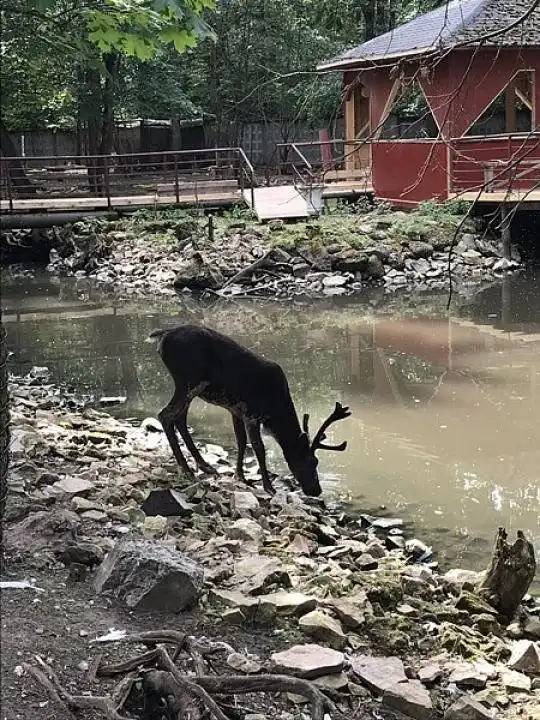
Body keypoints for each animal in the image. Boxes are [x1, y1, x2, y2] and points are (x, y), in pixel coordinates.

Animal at [147, 324, 350, 498]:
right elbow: (259, 448)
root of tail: (163, 336)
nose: (316, 490)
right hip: (188, 379)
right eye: (313, 461)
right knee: (165, 415)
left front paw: (240, 476)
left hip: (191, 386)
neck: (275, 411)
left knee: (179, 418)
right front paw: (269, 487)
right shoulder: (252, 413)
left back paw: (204, 465)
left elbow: (241, 442)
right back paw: (187, 469)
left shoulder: (236, 411)